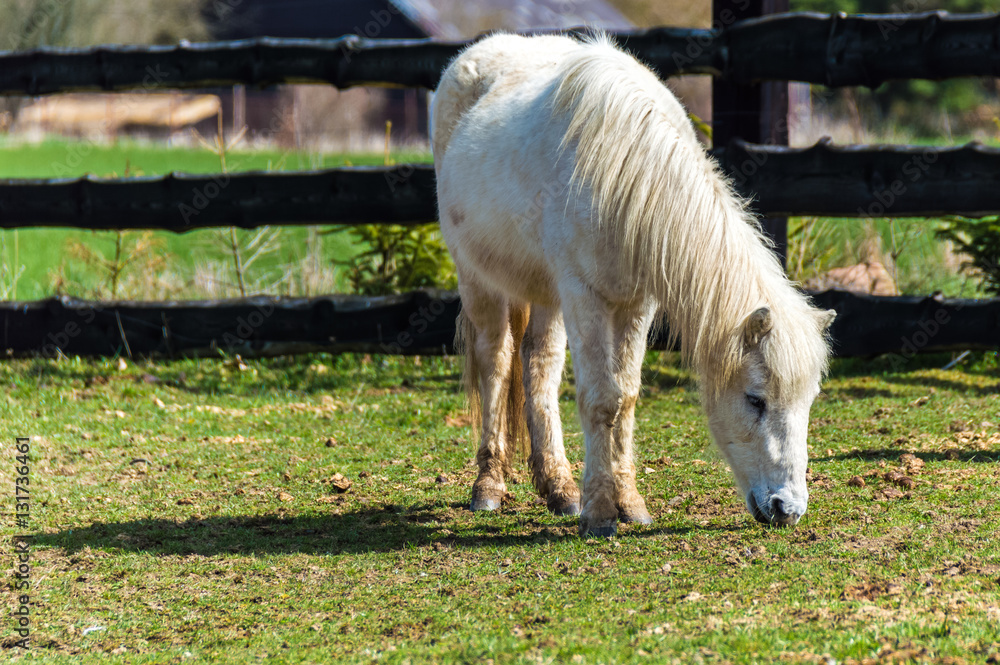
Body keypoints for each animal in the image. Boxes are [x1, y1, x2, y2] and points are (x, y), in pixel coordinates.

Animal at [431, 32, 835, 537]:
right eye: (755, 400)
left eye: (809, 401)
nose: (788, 509)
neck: (623, 174)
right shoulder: (584, 296)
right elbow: (601, 400)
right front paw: (601, 513)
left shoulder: (637, 306)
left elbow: (626, 397)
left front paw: (629, 503)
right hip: (478, 281)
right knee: (497, 364)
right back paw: (488, 486)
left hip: (546, 295)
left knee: (539, 366)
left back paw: (559, 488)